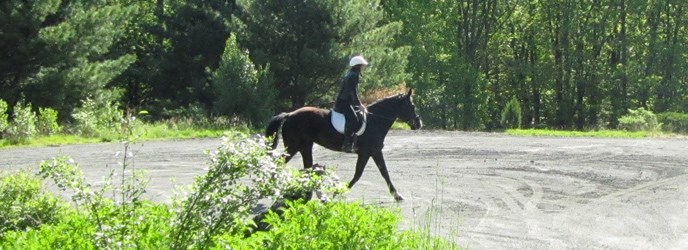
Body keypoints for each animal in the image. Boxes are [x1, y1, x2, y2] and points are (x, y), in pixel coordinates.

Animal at [266, 88, 422, 201]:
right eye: (412, 106)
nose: (419, 124)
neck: (375, 121)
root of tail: (290, 114)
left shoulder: (373, 152)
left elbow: (383, 172)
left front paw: (397, 195)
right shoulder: (369, 152)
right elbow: (362, 174)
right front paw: (339, 191)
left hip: (304, 147)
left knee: (307, 169)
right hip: (293, 147)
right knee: (280, 163)